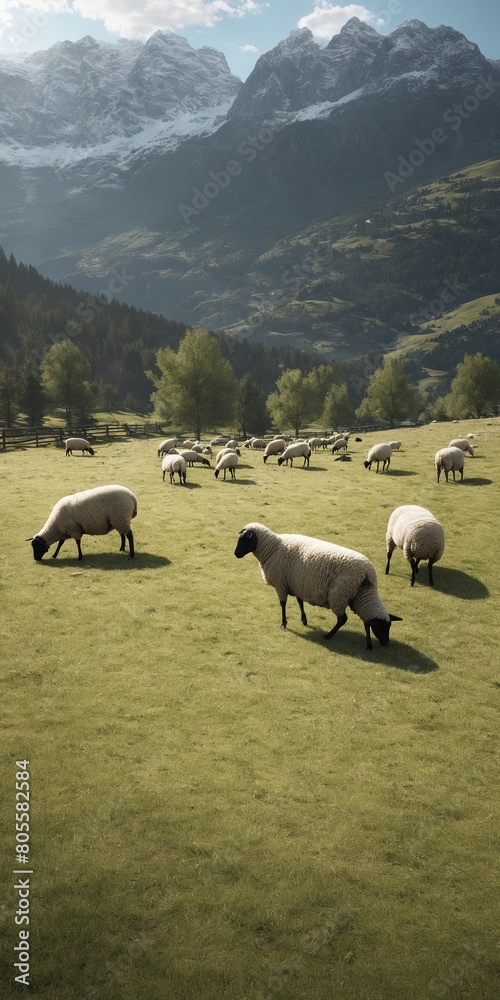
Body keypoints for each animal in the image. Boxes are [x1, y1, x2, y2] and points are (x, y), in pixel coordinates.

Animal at [234, 522, 402, 651]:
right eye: (382, 627)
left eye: (244, 540)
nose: (236, 554)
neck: (273, 548)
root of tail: (365, 573)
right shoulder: (296, 583)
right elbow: (299, 601)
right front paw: (303, 620)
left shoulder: (281, 585)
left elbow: (283, 604)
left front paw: (284, 623)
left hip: (338, 594)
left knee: (342, 619)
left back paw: (328, 636)